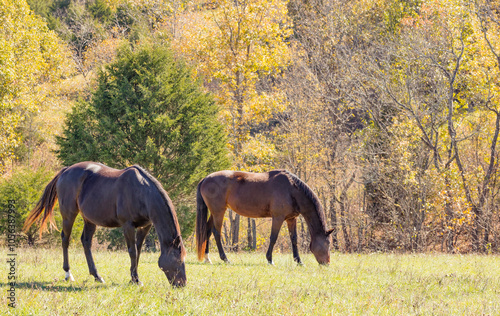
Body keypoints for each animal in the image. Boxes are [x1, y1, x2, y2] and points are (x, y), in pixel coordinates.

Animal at [23, 162, 188, 288]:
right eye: (177, 260)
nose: (182, 284)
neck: (141, 193)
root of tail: (66, 170)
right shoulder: (127, 226)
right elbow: (132, 252)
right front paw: (136, 280)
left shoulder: (144, 226)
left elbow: (138, 251)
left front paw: (133, 278)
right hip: (68, 215)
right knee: (65, 239)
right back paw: (68, 274)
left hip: (89, 219)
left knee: (86, 242)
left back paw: (97, 276)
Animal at [197, 170, 334, 264]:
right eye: (327, 244)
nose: (327, 264)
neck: (291, 190)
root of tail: (205, 178)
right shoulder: (278, 218)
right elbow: (273, 237)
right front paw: (270, 260)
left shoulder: (291, 219)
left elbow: (294, 239)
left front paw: (299, 261)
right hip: (218, 212)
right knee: (216, 233)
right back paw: (225, 258)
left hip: (214, 213)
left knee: (207, 231)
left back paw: (207, 258)